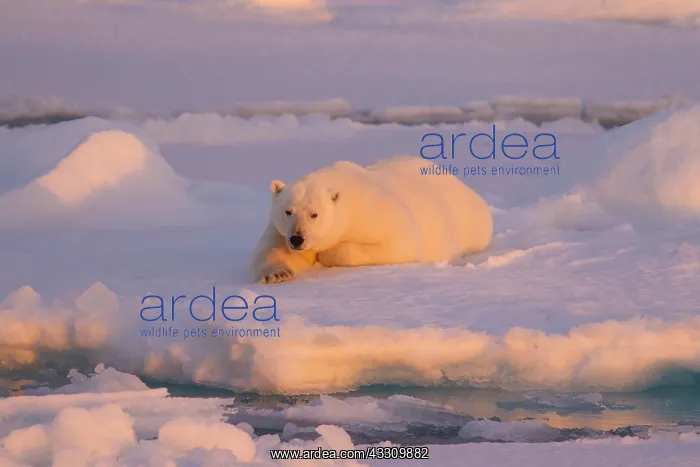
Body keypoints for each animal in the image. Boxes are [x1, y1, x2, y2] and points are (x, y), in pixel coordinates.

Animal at [249, 155, 493, 284]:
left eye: (314, 214)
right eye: (288, 211)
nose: (297, 239)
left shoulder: (373, 211)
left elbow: (401, 242)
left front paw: (327, 254)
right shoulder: (279, 230)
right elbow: (272, 250)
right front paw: (277, 274)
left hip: (469, 221)